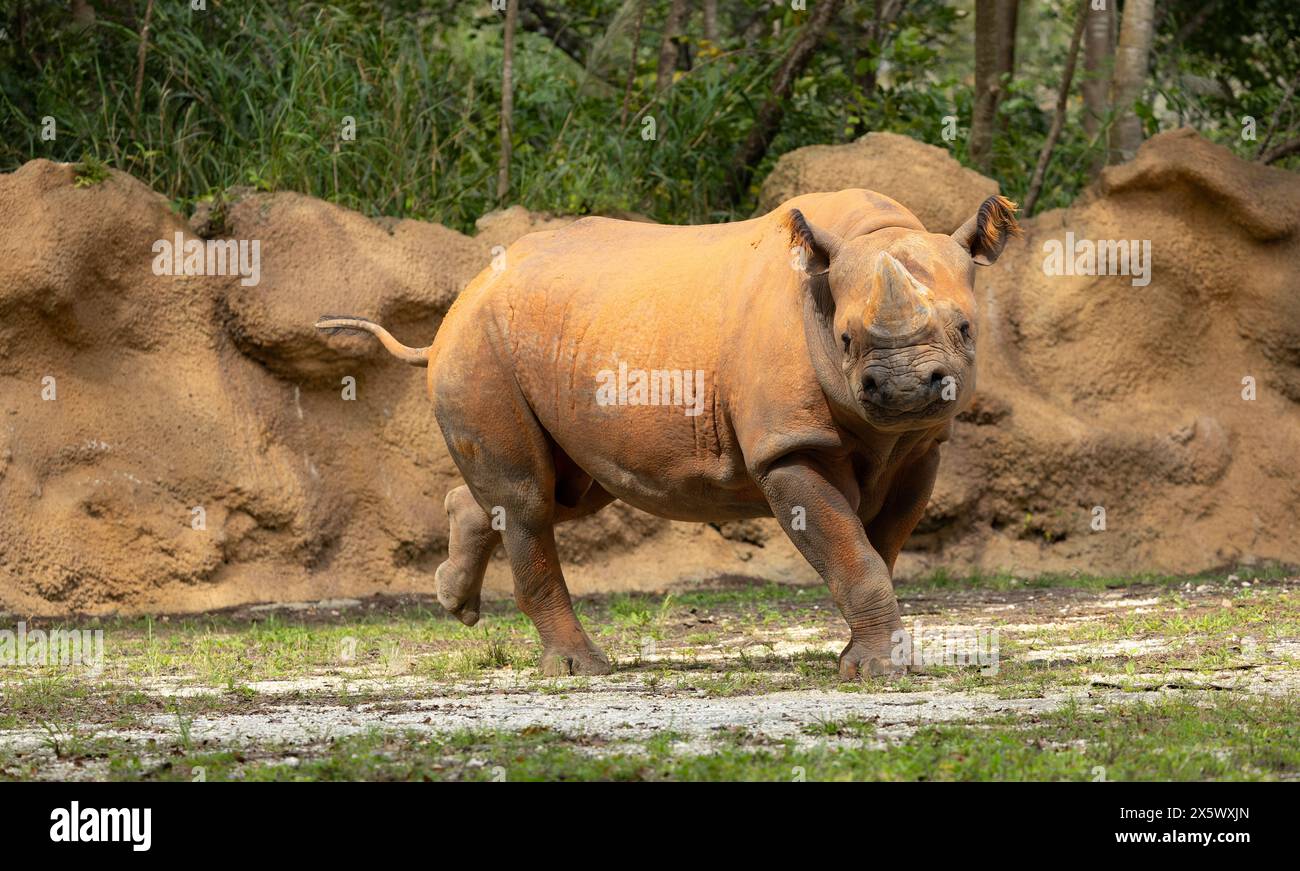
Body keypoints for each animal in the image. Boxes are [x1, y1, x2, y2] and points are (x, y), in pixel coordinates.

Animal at [317, 189, 1020, 679]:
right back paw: (580, 669)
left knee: (564, 492)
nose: (903, 389)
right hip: (482, 343)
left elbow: (879, 547)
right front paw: (877, 671)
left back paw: (453, 599)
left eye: (965, 329)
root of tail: (459, 300)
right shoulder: (790, 448)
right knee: (527, 500)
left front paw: (861, 657)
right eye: (845, 339)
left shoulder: (922, 447)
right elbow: (854, 554)